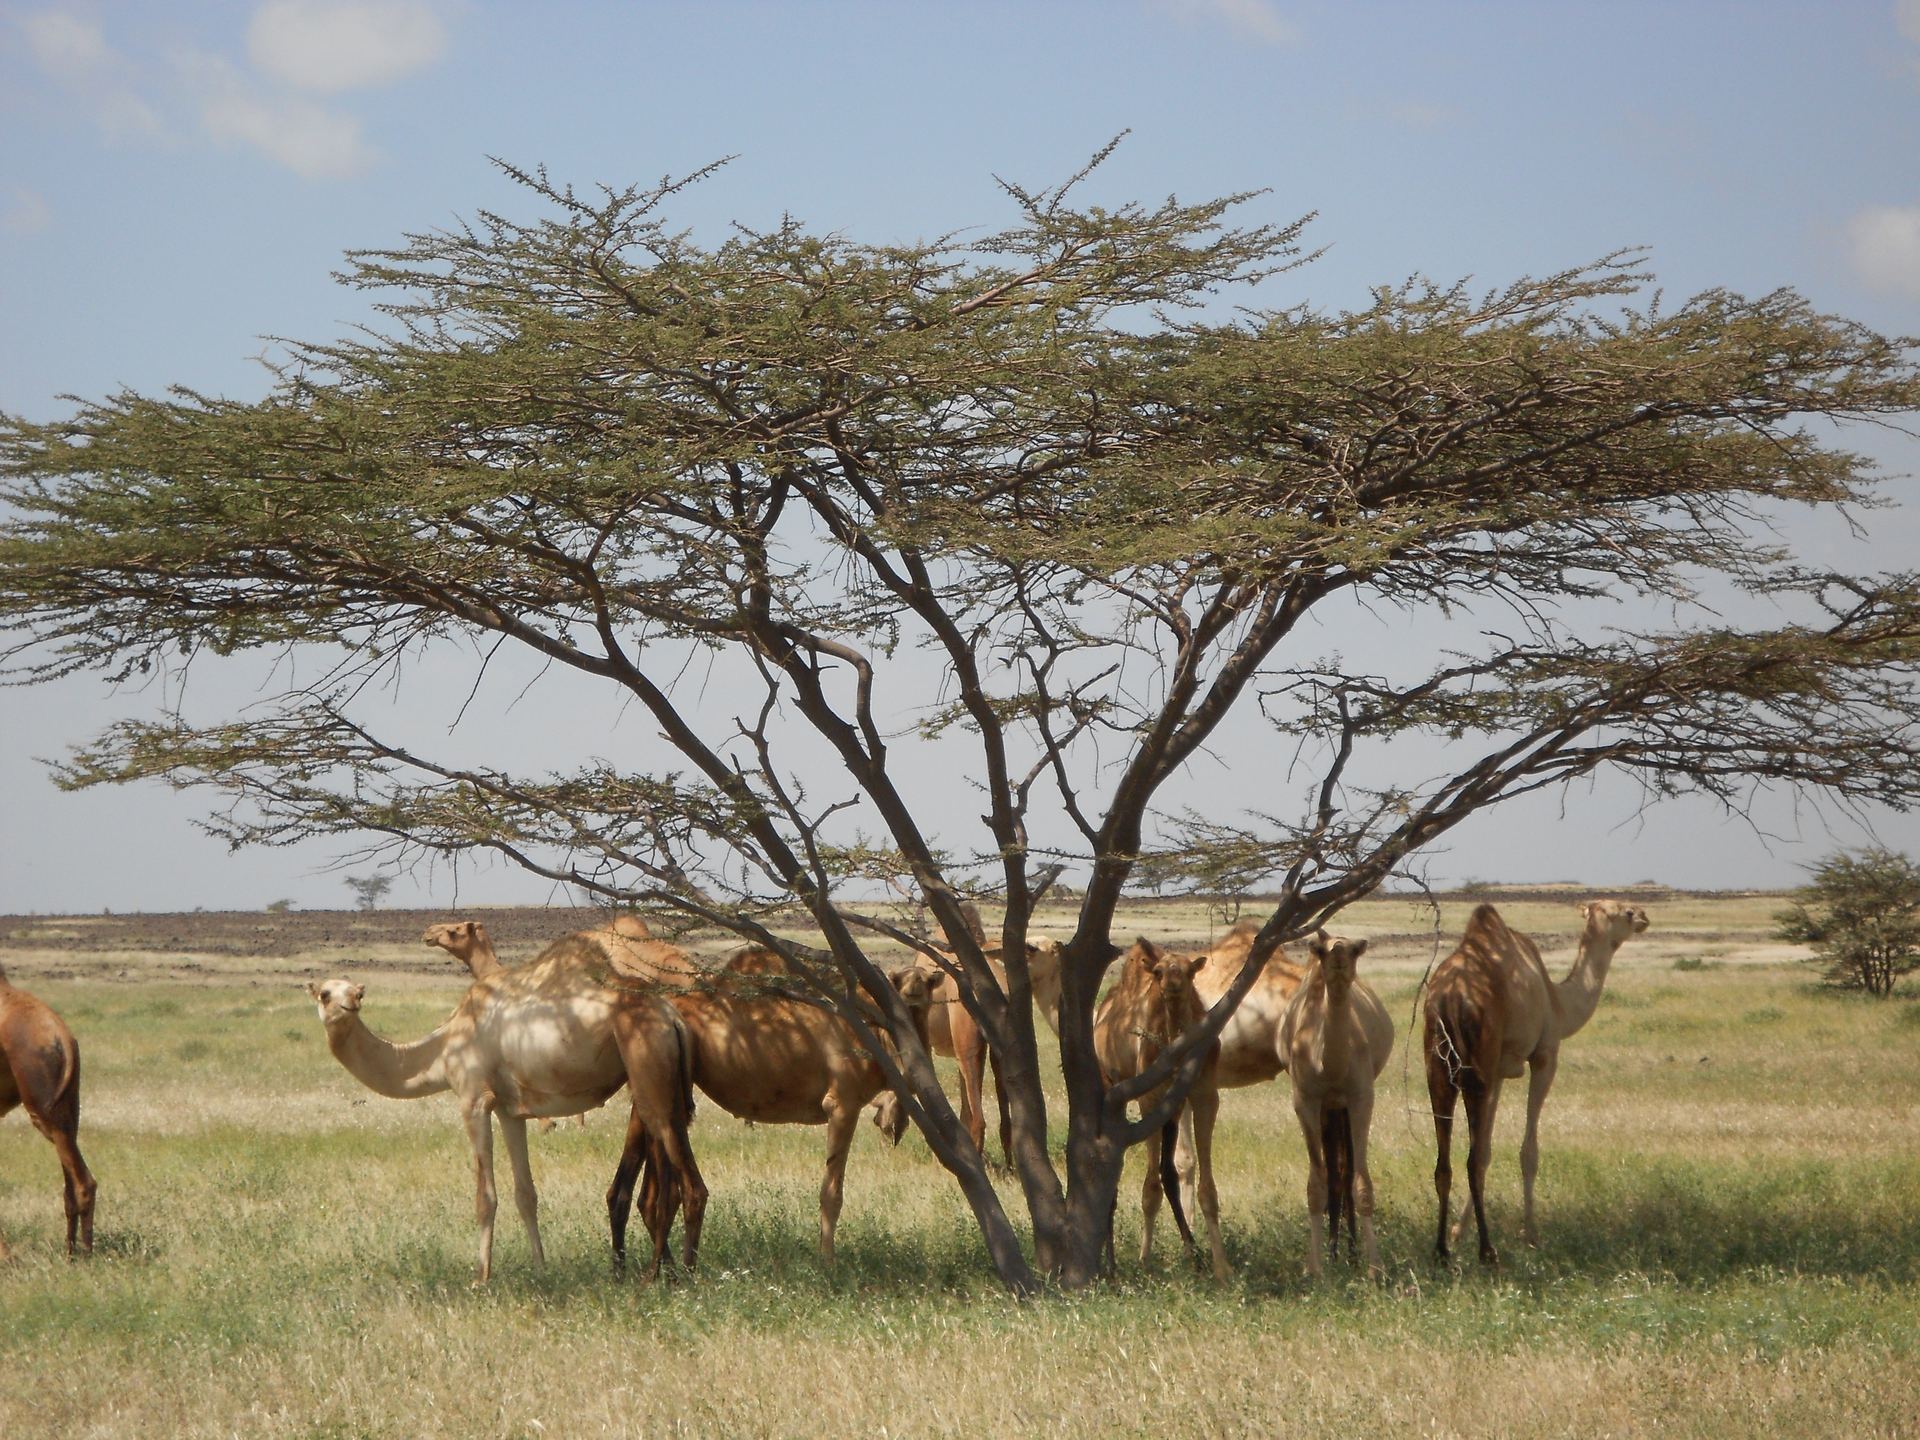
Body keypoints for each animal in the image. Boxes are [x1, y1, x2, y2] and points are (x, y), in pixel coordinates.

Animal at [0, 963, 95, 1260]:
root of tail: (64, 1039)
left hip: (43, 1112)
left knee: (83, 1182)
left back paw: (84, 1255)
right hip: (68, 1113)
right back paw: (70, 1250)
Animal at [309, 930, 703, 1281]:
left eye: (356, 991)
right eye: (325, 994)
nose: (350, 1003)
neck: (446, 1045)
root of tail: (672, 1017)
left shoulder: (473, 1100)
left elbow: (485, 1197)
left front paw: (481, 1278)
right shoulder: (508, 1110)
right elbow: (525, 1193)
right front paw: (541, 1269)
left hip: (649, 1071)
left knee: (690, 1185)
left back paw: (677, 1275)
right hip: (668, 1086)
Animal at [1092, 938, 1230, 1280]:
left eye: (1189, 970)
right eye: (1158, 971)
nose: (1171, 983)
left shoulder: (1204, 1094)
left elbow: (1207, 1190)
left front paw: (1221, 1267)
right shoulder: (1150, 1098)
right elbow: (1149, 1190)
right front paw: (1144, 1260)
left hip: (1174, 1108)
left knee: (1167, 1171)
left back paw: (1192, 1253)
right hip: (1113, 1086)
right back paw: (1111, 1263)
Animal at [1276, 931, 1394, 1278]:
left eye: (1357, 949)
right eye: (1319, 950)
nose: (1339, 953)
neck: (1329, 1064)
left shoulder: (1361, 1097)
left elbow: (1361, 1182)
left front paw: (1375, 1268)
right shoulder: (1305, 1099)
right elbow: (1316, 1184)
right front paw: (1313, 1269)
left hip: (1339, 1107)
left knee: (1344, 1169)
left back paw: (1351, 1254)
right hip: (1328, 1109)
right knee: (1333, 1172)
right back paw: (1335, 1253)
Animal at [1423, 899, 1650, 1264]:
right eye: (1625, 912)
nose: (1644, 917)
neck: (1557, 1002)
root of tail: (1449, 997)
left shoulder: (1500, 1071)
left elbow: (1485, 1149)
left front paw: (1459, 1232)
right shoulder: (1543, 1055)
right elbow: (1526, 1151)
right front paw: (1530, 1234)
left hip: (1438, 1064)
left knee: (1445, 1160)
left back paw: (1442, 1250)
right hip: (1476, 1061)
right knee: (1468, 1158)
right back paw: (1488, 1251)